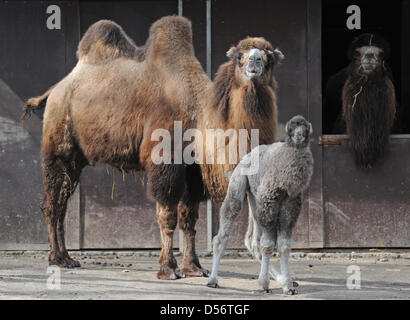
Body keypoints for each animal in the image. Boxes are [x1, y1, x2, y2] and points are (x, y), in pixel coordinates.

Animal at [23, 16, 282, 278]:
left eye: (269, 57)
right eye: (239, 56)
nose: (255, 62)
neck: (198, 117)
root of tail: (55, 90)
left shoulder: (193, 169)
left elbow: (190, 218)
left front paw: (193, 267)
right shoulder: (165, 160)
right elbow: (167, 216)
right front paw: (168, 268)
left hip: (76, 159)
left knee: (63, 202)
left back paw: (67, 257)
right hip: (57, 144)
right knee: (51, 203)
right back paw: (56, 258)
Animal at [208, 115, 314, 296]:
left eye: (306, 128)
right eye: (291, 129)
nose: (299, 137)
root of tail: (245, 158)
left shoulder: (291, 203)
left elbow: (284, 245)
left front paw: (288, 286)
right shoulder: (270, 200)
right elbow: (268, 245)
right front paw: (264, 284)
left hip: (255, 199)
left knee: (252, 241)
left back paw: (284, 279)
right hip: (240, 184)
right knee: (226, 226)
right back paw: (212, 280)